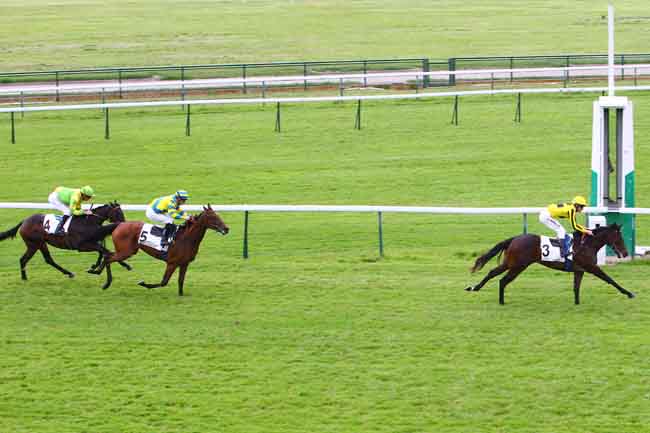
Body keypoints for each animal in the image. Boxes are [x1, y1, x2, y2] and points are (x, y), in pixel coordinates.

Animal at [0, 202, 129, 280]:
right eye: (118, 212)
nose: (124, 224)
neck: (87, 222)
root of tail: (24, 221)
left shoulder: (91, 242)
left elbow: (103, 251)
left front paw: (94, 266)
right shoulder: (81, 246)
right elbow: (105, 251)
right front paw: (125, 264)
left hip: (40, 244)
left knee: (44, 259)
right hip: (35, 244)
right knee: (27, 259)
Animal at [91, 204, 228, 296]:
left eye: (218, 215)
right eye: (213, 217)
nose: (226, 229)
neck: (186, 239)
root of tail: (119, 224)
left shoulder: (184, 263)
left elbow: (180, 281)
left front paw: (181, 295)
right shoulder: (172, 263)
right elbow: (164, 282)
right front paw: (143, 283)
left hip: (125, 251)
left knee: (108, 256)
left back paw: (98, 273)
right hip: (126, 251)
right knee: (108, 257)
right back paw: (102, 278)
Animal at [464, 224, 636, 306]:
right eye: (618, 237)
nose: (625, 253)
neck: (587, 244)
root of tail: (515, 238)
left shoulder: (579, 270)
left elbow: (576, 288)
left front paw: (577, 303)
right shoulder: (592, 268)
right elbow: (610, 280)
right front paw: (629, 293)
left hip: (510, 263)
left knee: (492, 273)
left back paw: (474, 288)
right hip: (518, 266)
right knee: (503, 280)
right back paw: (501, 301)